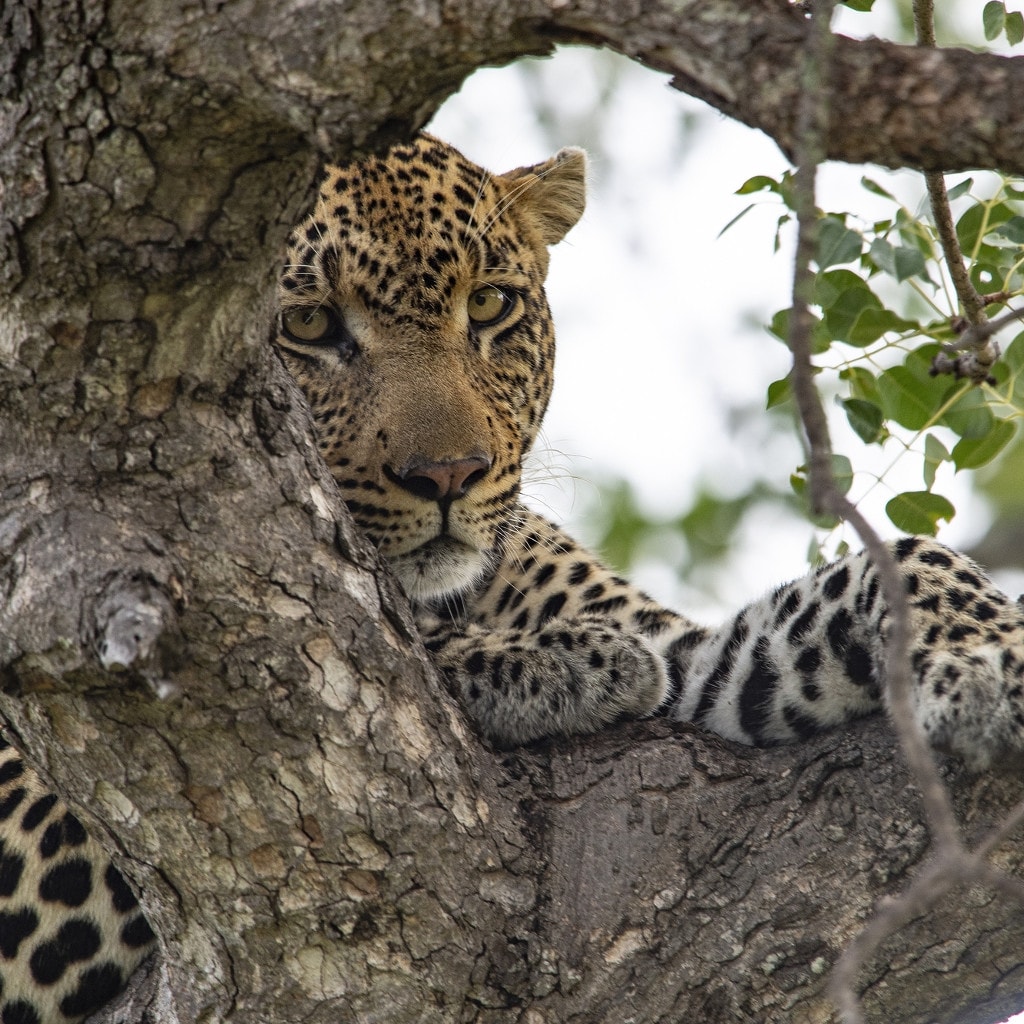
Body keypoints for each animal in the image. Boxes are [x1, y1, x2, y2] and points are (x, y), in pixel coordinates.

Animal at [3, 132, 1024, 1024]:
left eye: (490, 305)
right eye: (307, 324)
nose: (450, 475)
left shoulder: (693, 659)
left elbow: (897, 563)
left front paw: (990, 658)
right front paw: (555, 662)